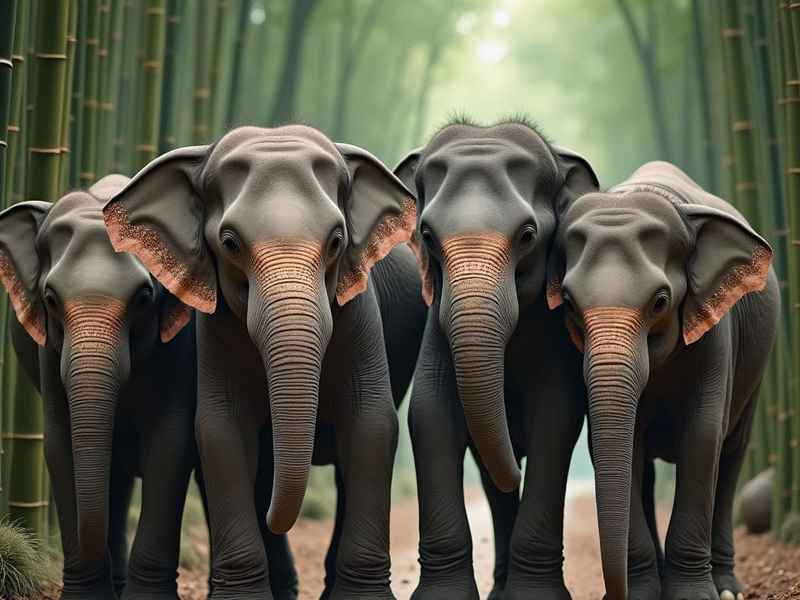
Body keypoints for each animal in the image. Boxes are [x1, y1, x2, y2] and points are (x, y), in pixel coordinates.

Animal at [0, 175, 198, 600]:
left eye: (143, 298)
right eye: (50, 299)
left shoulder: (181, 344)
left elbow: (170, 443)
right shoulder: (49, 351)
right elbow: (60, 447)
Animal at [101, 125, 427, 600]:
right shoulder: (214, 331)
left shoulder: (362, 313)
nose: (276, 518)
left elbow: (371, 422)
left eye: (337, 241)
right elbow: (221, 430)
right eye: (231, 243)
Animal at [546, 161, 779, 600]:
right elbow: (624, 445)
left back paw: (727, 588)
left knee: (732, 454)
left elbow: (703, 437)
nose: (610, 594)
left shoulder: (717, 331)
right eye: (568, 303)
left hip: (757, 371)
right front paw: (643, 592)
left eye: (660, 302)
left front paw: (694, 594)